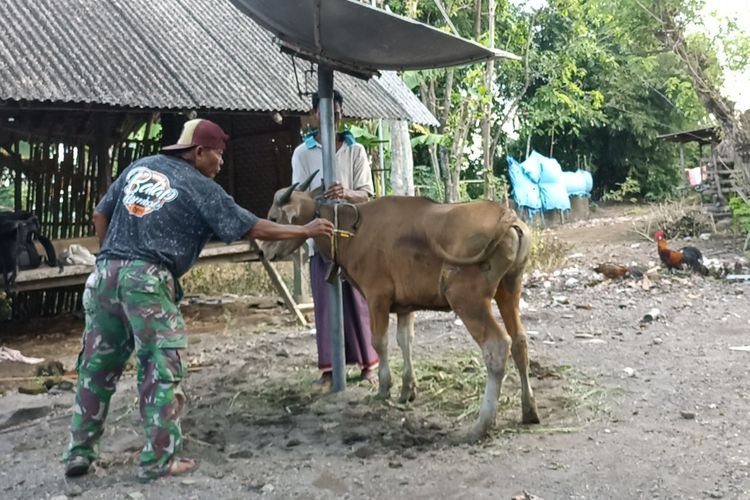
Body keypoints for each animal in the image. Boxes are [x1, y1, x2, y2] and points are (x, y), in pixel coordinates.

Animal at [258, 178, 540, 440]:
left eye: (273, 217)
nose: (263, 252)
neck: (352, 229)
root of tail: (506, 216)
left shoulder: (377, 297)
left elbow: (379, 341)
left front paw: (384, 388)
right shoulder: (406, 305)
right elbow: (405, 340)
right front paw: (408, 389)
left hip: (467, 299)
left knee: (497, 346)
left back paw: (481, 425)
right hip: (509, 290)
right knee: (519, 341)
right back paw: (529, 411)